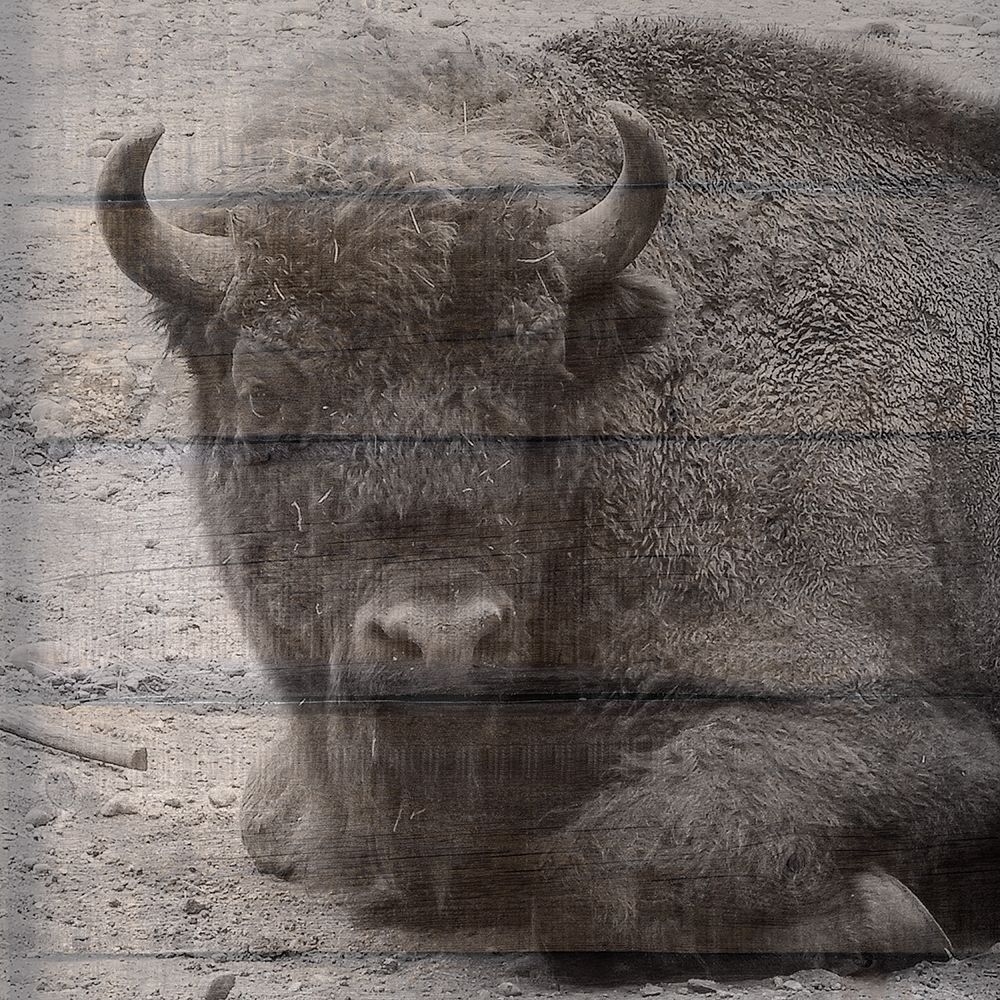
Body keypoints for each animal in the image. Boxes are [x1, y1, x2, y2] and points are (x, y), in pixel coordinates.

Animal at [97, 19, 1000, 960]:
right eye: (264, 393)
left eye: (538, 384)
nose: (444, 640)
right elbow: (269, 822)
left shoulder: (901, 725)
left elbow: (592, 878)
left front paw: (894, 915)